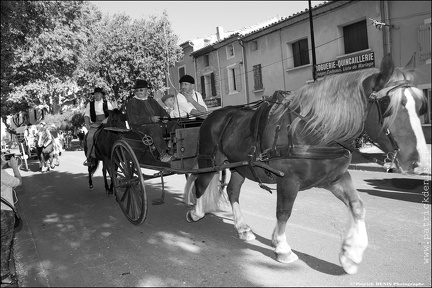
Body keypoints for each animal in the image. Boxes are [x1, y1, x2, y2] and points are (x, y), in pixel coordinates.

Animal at [185, 54, 428, 274]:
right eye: (388, 105)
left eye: (420, 106)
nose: (420, 162)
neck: (314, 132)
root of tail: (214, 115)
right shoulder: (288, 181)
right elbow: (284, 212)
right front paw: (282, 248)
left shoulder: (335, 178)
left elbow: (357, 206)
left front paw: (351, 253)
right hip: (210, 160)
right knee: (200, 183)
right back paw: (196, 212)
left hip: (240, 166)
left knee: (233, 191)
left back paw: (243, 228)